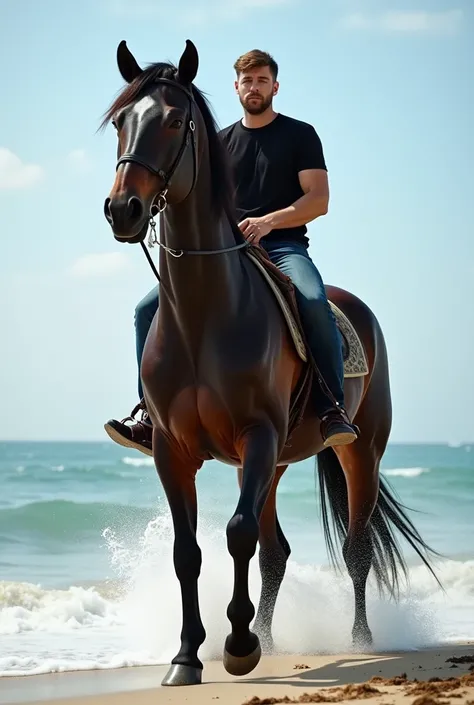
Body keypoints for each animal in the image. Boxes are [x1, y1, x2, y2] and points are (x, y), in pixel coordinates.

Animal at [101, 40, 440, 688]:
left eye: (175, 121)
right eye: (120, 122)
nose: (122, 209)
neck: (205, 315)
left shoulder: (258, 435)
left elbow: (236, 535)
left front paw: (237, 647)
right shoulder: (173, 451)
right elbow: (190, 551)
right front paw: (189, 656)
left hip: (357, 450)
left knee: (355, 547)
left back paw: (359, 640)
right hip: (276, 461)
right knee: (276, 550)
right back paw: (270, 634)